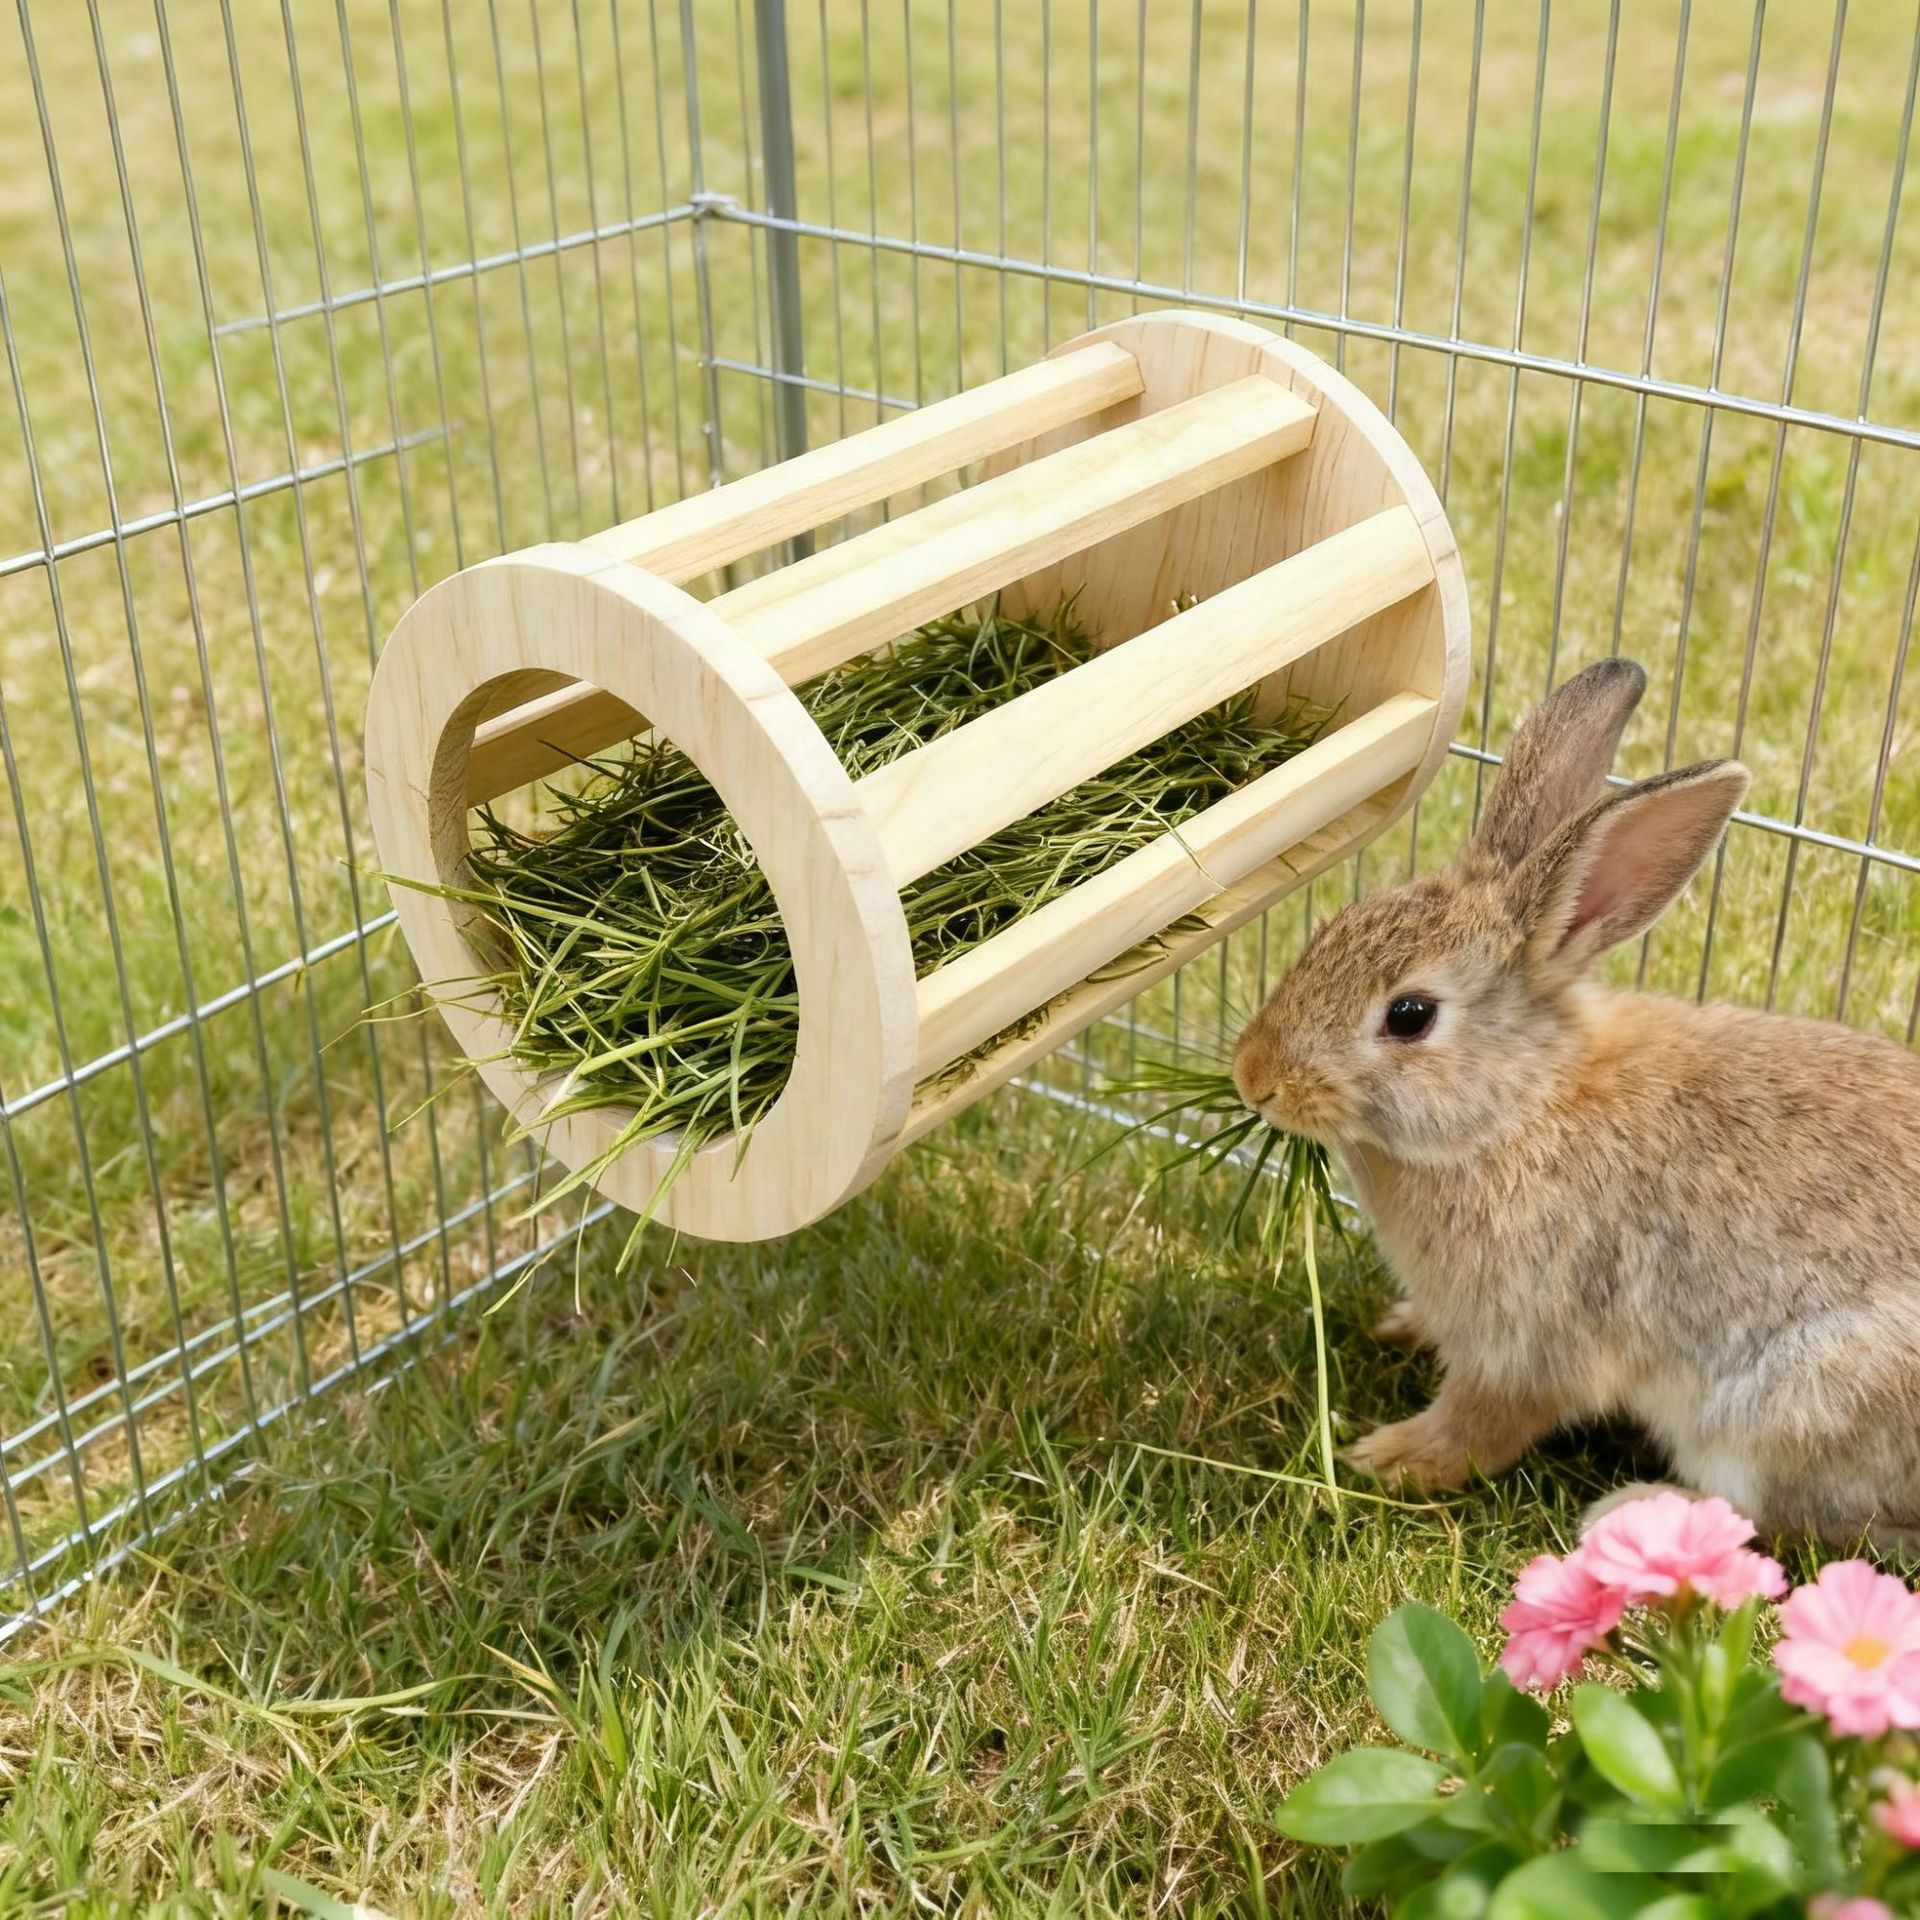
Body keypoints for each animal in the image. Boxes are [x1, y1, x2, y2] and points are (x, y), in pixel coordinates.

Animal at [1231, 657, 1920, 1545]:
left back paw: (1632, 1512)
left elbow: (1484, 1424)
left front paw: (1388, 1458)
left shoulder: (1528, 1338)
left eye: (1409, 1015)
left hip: (1792, 1405)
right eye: (1332, 928)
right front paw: (1401, 1327)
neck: (1521, 1105)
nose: (1254, 1076)